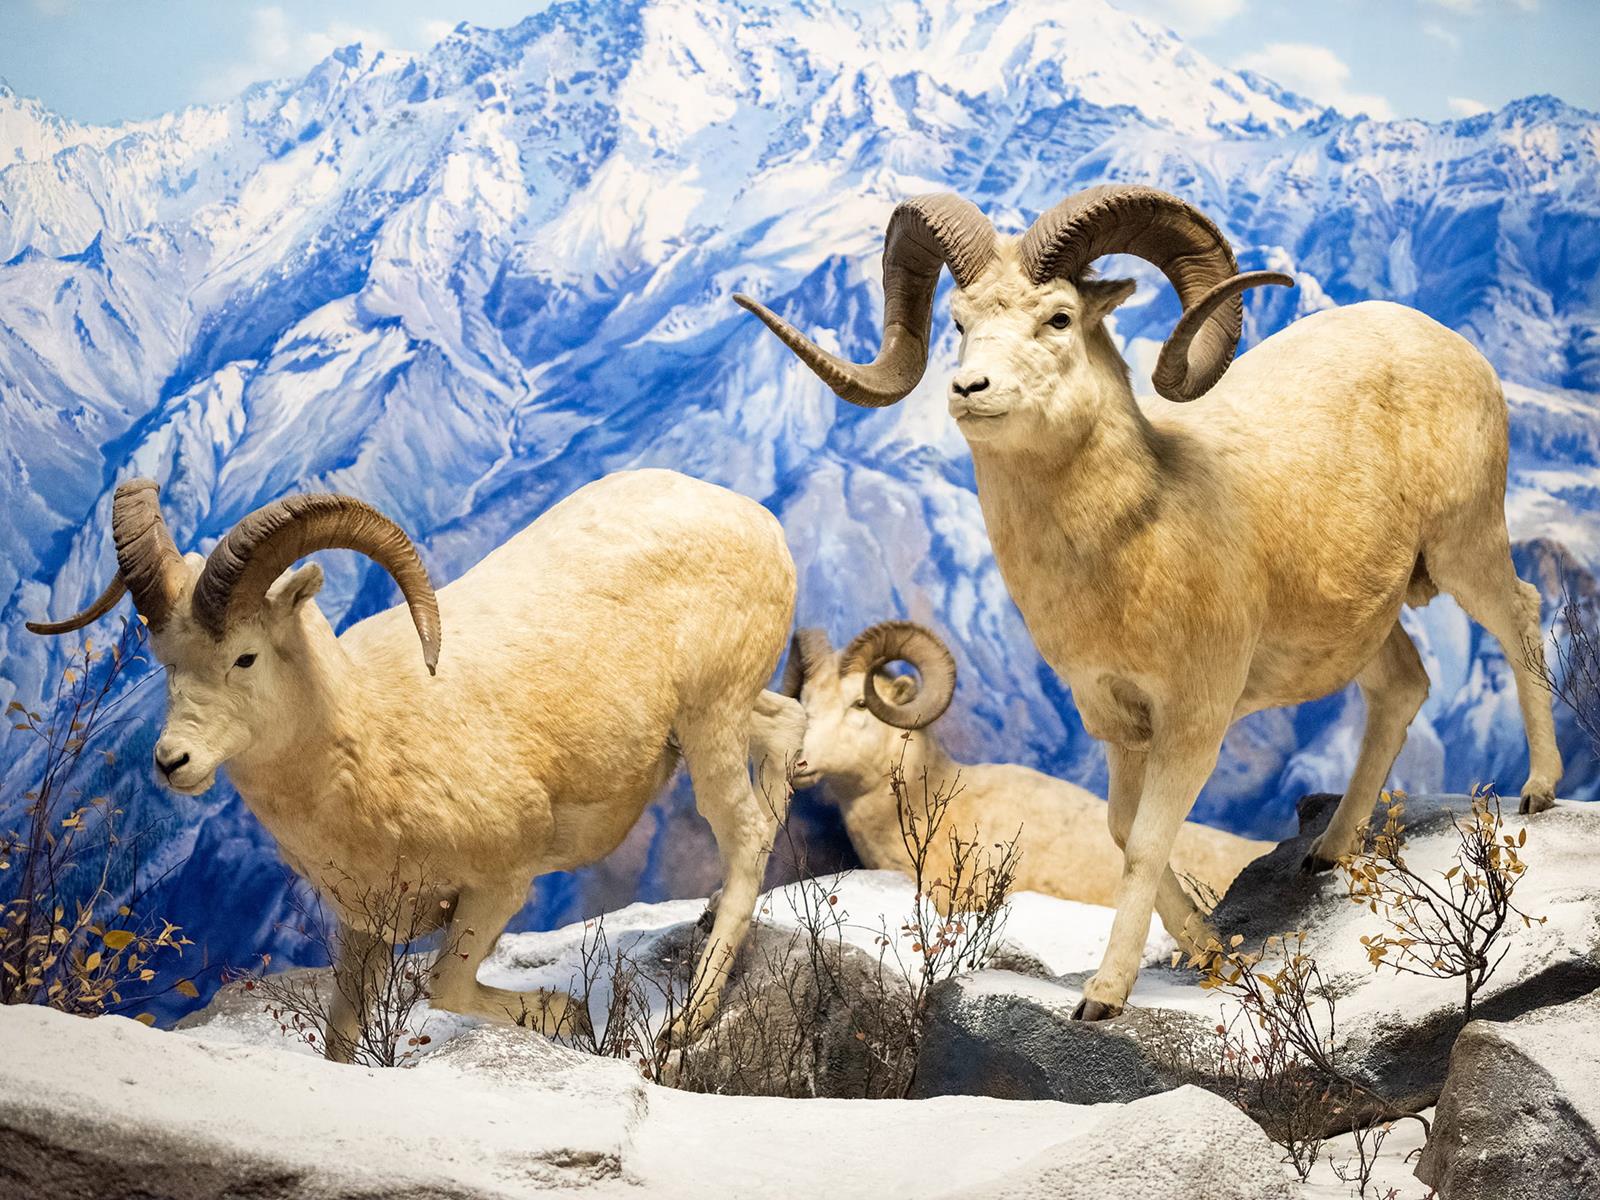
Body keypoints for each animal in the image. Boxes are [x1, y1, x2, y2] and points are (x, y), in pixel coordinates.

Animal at [28, 468, 806, 1058]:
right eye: (165, 660)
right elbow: (342, 1040)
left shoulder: (499, 888)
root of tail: (760, 521)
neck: (370, 738)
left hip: (709, 722)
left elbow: (444, 988)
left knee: (746, 835)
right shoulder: (365, 926)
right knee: (787, 730)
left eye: (244, 657)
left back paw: (684, 1024)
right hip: (715, 719)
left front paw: (568, 1018)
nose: (172, 761)